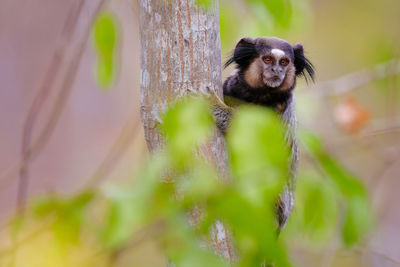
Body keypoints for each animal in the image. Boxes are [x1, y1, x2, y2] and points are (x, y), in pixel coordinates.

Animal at [212, 36, 316, 231]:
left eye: (284, 62)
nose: (276, 71)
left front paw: (212, 104)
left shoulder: (277, 111)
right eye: (268, 59)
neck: (258, 96)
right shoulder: (230, 87)